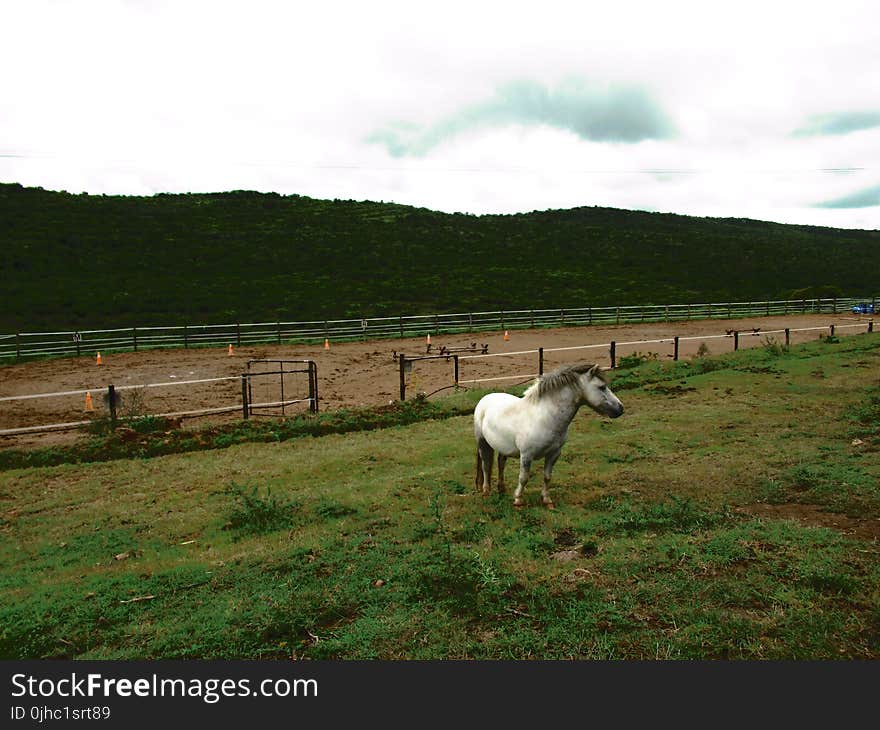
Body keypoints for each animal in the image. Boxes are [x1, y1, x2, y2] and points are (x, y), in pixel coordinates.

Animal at [470, 360, 624, 506]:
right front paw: (518, 500)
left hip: (503, 447)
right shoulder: (526, 455)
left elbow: (547, 476)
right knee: (485, 465)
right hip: (482, 442)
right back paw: (486, 491)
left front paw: (546, 499)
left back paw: (501, 489)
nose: (620, 409)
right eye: (602, 387)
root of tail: (485, 398)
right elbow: (523, 478)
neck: (545, 418)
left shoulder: (554, 453)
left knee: (501, 462)